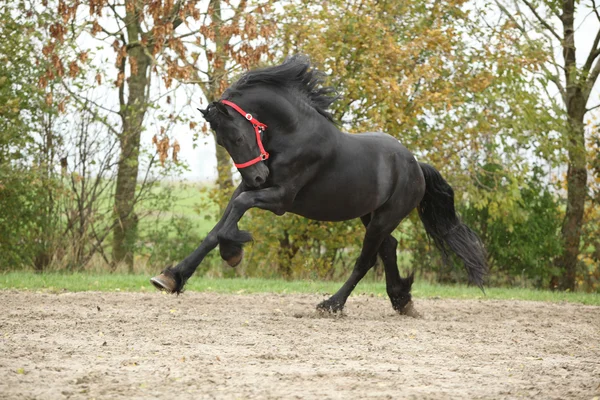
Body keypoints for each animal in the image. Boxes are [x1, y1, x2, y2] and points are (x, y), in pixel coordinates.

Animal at [151, 55, 488, 312]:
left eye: (235, 137)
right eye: (222, 141)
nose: (257, 176)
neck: (292, 134)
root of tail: (416, 164)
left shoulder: (281, 199)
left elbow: (236, 211)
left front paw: (233, 250)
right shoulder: (251, 189)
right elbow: (219, 225)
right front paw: (172, 277)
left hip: (385, 217)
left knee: (366, 260)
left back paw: (332, 304)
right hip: (370, 215)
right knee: (389, 248)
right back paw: (401, 299)